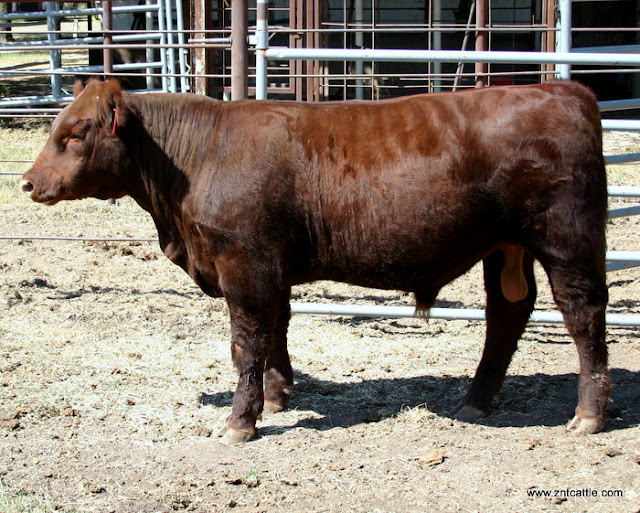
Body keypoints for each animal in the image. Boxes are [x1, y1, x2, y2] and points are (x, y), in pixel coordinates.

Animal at [20, 79, 610, 445]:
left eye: (75, 133)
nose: (27, 182)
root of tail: (564, 89)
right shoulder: (272, 267)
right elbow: (277, 330)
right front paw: (278, 395)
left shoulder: (245, 262)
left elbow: (246, 342)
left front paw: (240, 422)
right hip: (504, 249)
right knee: (507, 315)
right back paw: (476, 401)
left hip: (567, 244)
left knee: (583, 317)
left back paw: (588, 414)